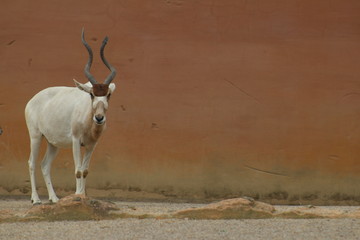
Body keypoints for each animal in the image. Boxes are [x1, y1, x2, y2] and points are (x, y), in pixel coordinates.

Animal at [25, 28, 116, 204]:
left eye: (108, 94)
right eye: (91, 94)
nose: (99, 118)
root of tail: (32, 100)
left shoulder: (91, 144)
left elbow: (85, 171)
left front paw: (83, 196)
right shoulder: (76, 141)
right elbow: (78, 170)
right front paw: (78, 196)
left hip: (53, 143)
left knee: (45, 165)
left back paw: (54, 199)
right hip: (36, 136)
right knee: (32, 162)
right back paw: (36, 199)